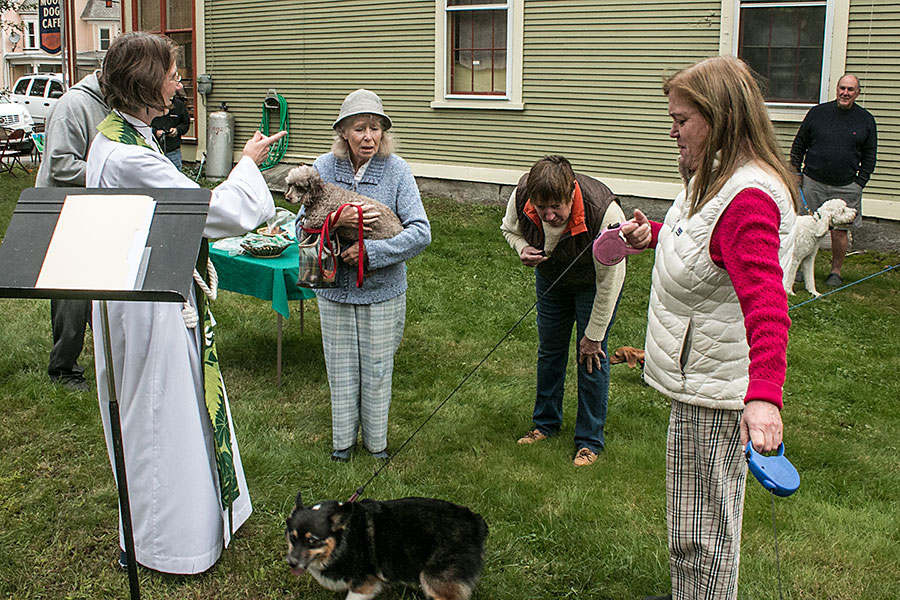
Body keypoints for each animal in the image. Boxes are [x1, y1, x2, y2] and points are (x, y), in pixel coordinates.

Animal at [286, 492, 486, 600]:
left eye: (312, 541)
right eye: (292, 537)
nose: (291, 563)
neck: (344, 538)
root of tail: (475, 522)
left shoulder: (364, 585)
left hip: (434, 580)